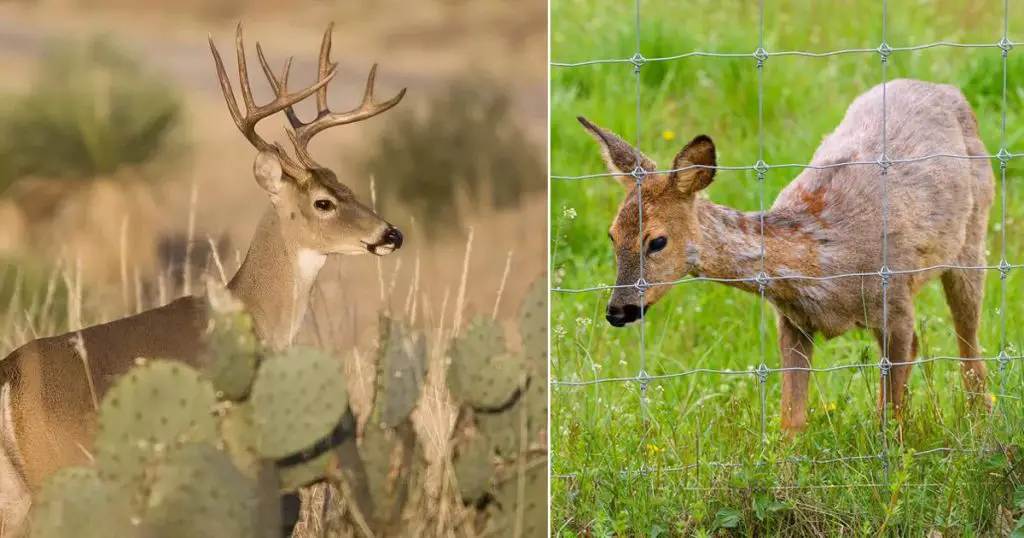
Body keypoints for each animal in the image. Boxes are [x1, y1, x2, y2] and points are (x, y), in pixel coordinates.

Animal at [0, 22, 407, 536]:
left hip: (15, 491)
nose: (391, 234)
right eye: (323, 202)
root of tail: (10, 377)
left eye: (348, 188)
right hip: (56, 471)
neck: (256, 319)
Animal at [581, 78, 995, 432]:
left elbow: (889, 414)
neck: (821, 260)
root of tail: (945, 89)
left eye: (657, 241)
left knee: (969, 346)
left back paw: (980, 419)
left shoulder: (895, 301)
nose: (617, 311)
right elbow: (791, 422)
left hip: (972, 242)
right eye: (612, 235)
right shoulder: (792, 320)